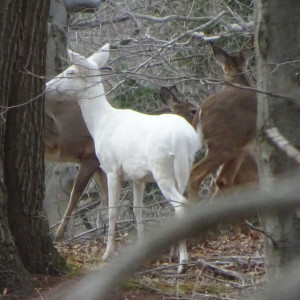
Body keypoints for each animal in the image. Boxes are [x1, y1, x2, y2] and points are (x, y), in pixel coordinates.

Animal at [46, 44, 199, 272]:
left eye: (70, 72)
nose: (46, 85)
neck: (101, 122)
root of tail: (185, 140)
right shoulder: (138, 176)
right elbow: (137, 210)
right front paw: (141, 248)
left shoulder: (110, 168)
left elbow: (111, 209)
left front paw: (107, 253)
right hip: (184, 169)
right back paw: (175, 254)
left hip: (161, 169)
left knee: (181, 205)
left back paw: (182, 263)